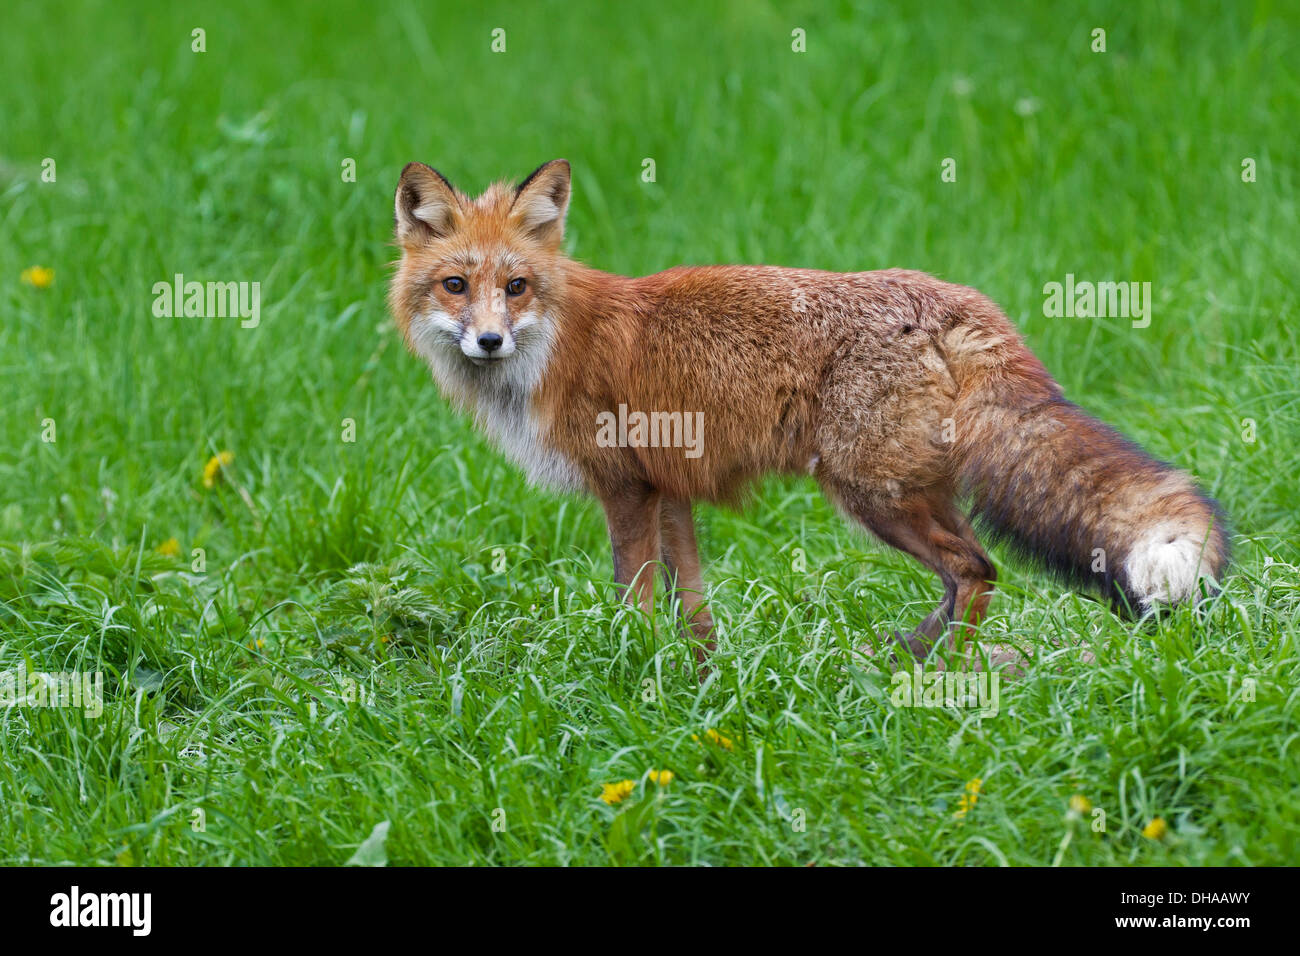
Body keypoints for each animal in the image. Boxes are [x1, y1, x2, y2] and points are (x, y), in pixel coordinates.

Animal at [384, 160, 1227, 671]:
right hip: (912, 492)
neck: (555, 346)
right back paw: (903, 657)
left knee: (974, 569)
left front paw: (629, 674)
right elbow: (694, 606)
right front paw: (700, 680)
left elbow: (634, 601)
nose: (488, 339)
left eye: (516, 286)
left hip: (870, 495)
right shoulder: (671, 492)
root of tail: (956, 297)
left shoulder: (625, 489)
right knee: (973, 572)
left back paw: (933, 672)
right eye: (456, 286)